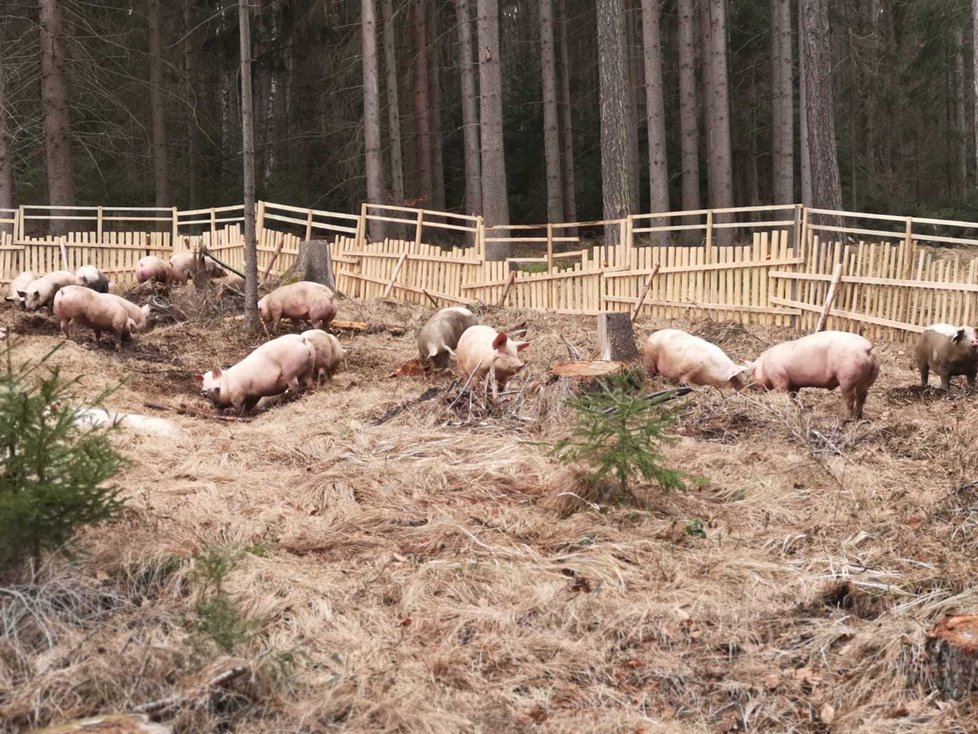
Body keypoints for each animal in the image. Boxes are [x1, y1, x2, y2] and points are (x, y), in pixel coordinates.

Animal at [744, 332, 880, 420]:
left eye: (753, 373)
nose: (751, 387)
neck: (764, 366)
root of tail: (866, 349)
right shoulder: (794, 383)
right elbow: (793, 395)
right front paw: (797, 407)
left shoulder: (779, 378)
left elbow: (784, 393)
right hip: (870, 378)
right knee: (862, 396)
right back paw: (859, 417)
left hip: (847, 377)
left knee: (850, 398)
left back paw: (846, 418)